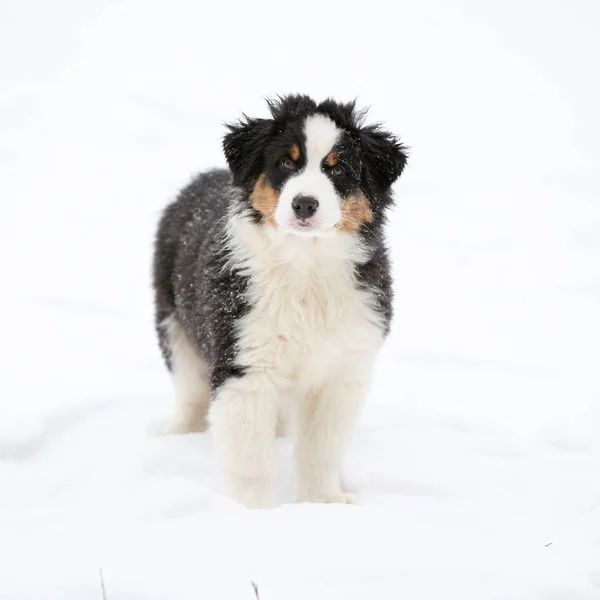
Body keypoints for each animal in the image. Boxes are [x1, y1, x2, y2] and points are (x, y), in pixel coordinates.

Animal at [154, 94, 408, 506]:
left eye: (338, 169)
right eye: (287, 163)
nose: (304, 204)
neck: (304, 266)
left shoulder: (343, 370)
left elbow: (320, 448)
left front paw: (324, 502)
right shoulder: (244, 363)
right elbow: (250, 461)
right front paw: (258, 512)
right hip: (172, 321)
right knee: (191, 391)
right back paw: (176, 436)